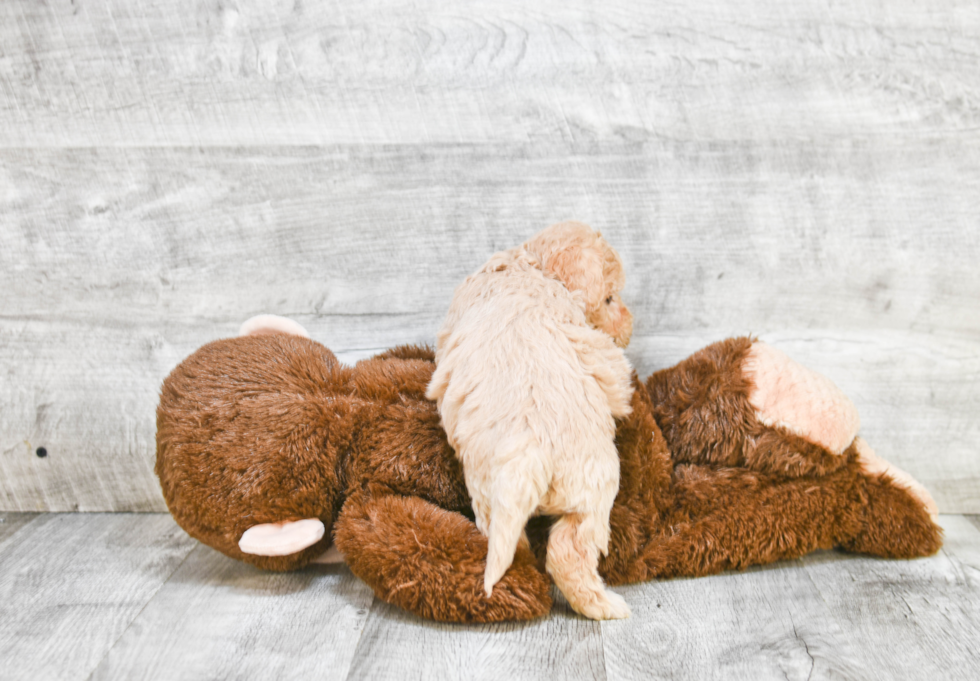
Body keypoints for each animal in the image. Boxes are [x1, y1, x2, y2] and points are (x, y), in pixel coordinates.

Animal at [424, 220, 632, 620]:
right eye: (610, 299)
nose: (629, 324)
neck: (530, 262)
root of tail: (528, 450)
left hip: (489, 493)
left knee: (510, 541)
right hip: (595, 486)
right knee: (570, 548)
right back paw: (605, 606)